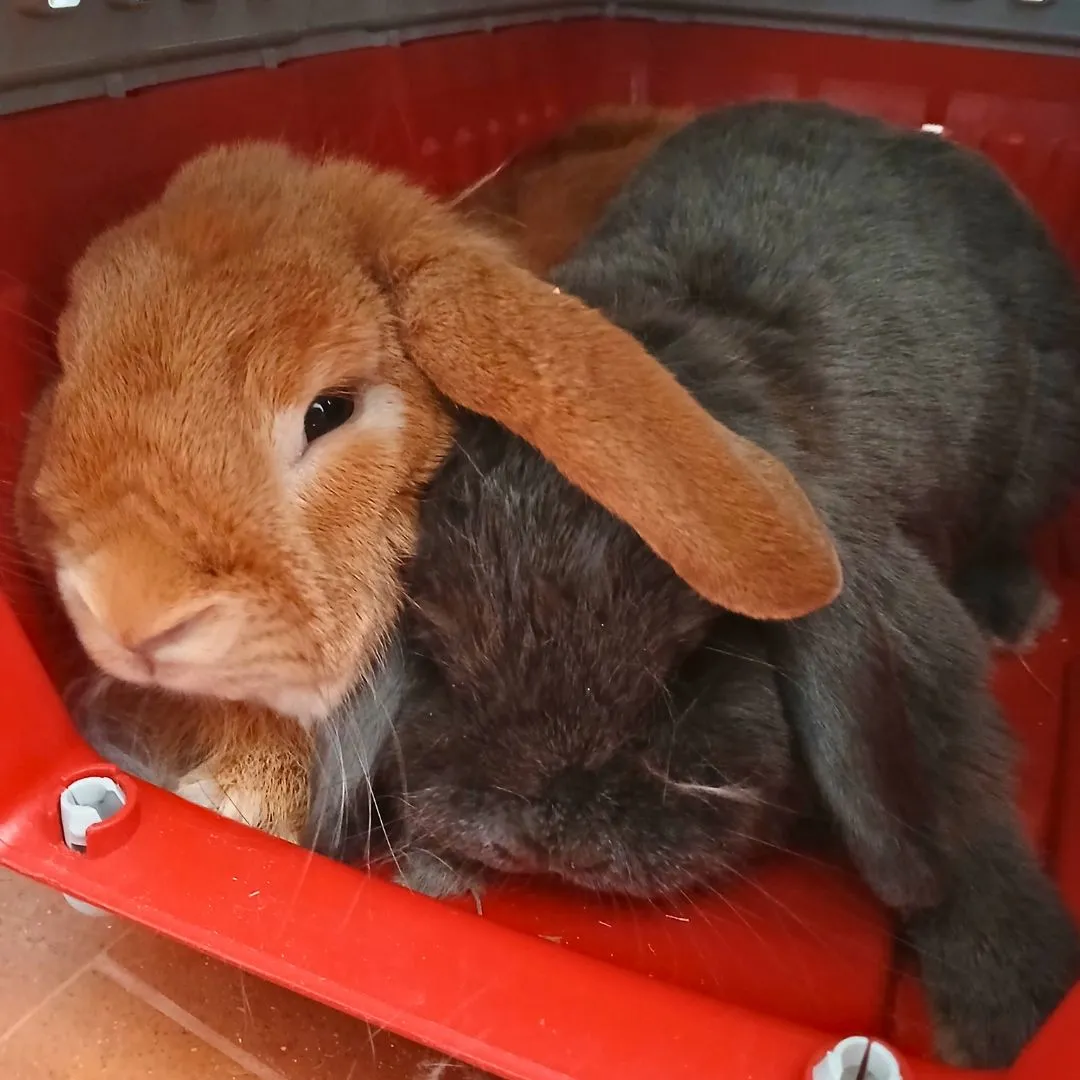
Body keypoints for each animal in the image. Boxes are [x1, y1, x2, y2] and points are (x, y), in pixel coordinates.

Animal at [367, 103, 1075, 1071]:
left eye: (698, 657)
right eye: (434, 643)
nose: (546, 823)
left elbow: (964, 812)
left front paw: (1013, 1011)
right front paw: (436, 867)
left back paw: (1014, 607)